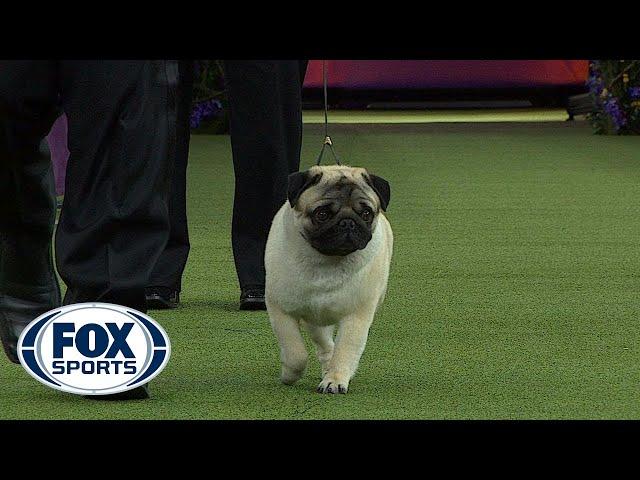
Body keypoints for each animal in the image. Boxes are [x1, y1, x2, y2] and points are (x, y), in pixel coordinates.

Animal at [264, 165, 390, 394]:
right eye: (322, 214)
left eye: (366, 213)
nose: (348, 222)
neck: (327, 262)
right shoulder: (280, 310)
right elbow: (295, 353)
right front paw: (289, 375)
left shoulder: (357, 317)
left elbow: (345, 351)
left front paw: (335, 380)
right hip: (315, 319)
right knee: (324, 345)